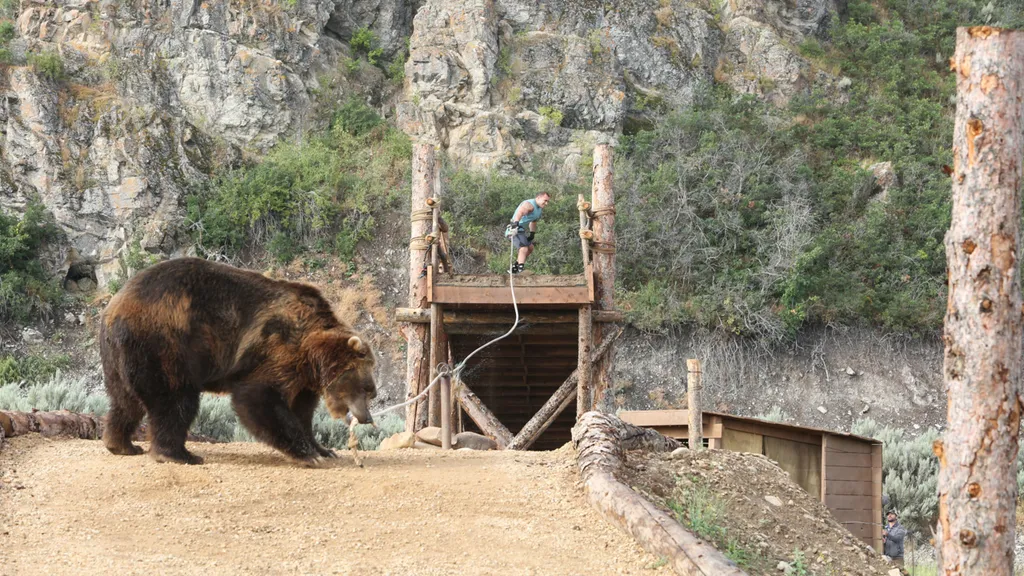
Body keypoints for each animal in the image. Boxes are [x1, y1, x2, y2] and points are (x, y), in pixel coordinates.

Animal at [98, 256, 378, 467]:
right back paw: (178, 454)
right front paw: (308, 454)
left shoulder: (302, 376)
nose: (367, 418)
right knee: (175, 399)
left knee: (125, 400)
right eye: (367, 389)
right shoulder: (275, 348)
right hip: (164, 343)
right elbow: (258, 397)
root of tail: (114, 306)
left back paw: (121, 444)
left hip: (118, 356)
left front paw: (323, 449)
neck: (310, 353)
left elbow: (302, 412)